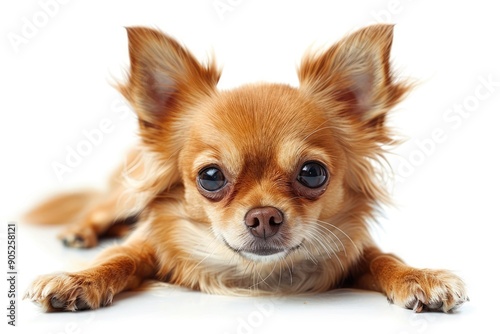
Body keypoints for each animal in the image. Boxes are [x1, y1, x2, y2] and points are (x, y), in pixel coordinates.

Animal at [23, 24, 468, 314]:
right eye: (211, 177)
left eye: (312, 173)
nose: (264, 217)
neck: (253, 272)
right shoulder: (149, 242)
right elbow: (120, 258)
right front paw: (78, 280)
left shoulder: (355, 249)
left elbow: (384, 258)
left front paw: (419, 275)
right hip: (125, 194)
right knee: (98, 210)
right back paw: (80, 233)